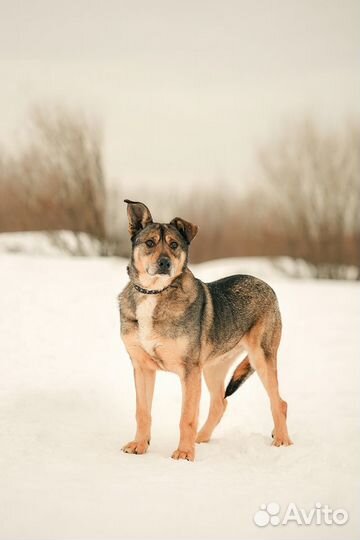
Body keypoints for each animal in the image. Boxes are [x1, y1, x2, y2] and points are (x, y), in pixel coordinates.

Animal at [118, 200, 292, 462]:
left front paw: (184, 453)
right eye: (149, 243)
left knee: (279, 402)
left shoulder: (189, 371)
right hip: (213, 367)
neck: (155, 293)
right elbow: (142, 411)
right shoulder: (142, 367)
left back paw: (282, 440)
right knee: (220, 403)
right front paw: (139, 446)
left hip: (261, 357)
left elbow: (186, 417)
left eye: (174, 245)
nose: (165, 263)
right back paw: (201, 438)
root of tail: (266, 284)